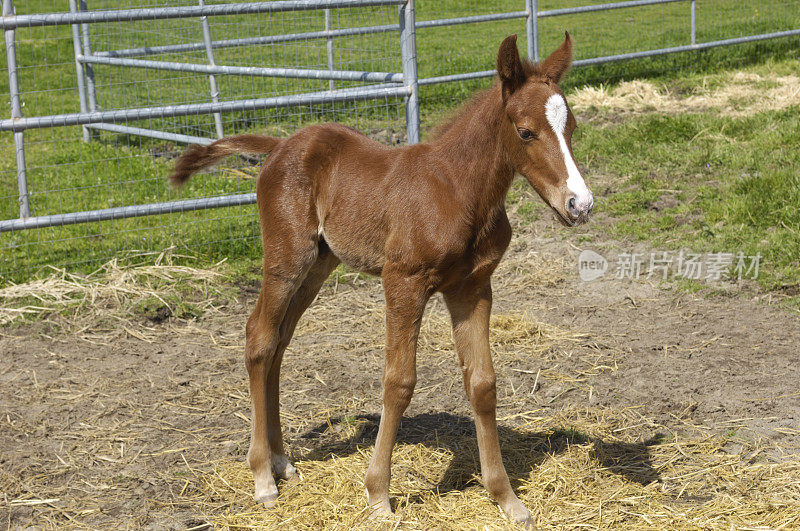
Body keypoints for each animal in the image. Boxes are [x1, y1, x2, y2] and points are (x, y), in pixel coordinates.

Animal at [170, 33, 592, 528]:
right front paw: (378, 495)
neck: (458, 190)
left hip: (320, 264)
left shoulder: (472, 287)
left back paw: (281, 461)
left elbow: (483, 383)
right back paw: (262, 477)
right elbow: (399, 382)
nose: (580, 204)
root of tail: (279, 146)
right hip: (287, 257)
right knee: (259, 336)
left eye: (572, 127)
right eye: (525, 132)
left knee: (279, 340)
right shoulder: (403, 282)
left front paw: (507, 499)